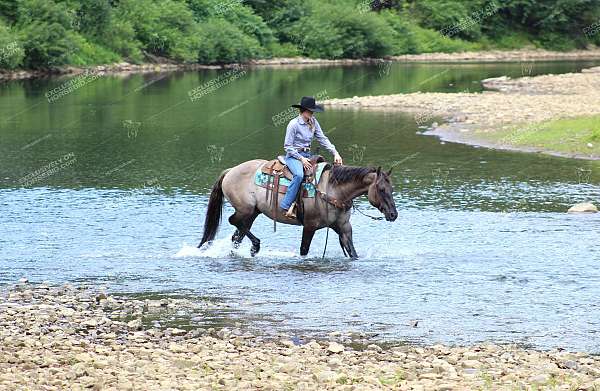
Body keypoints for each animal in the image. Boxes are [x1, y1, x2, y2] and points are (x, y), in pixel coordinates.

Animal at [197, 159, 398, 260]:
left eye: (392, 188)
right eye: (381, 189)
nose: (393, 214)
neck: (333, 190)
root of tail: (230, 171)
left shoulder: (344, 228)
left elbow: (353, 252)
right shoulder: (309, 226)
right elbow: (303, 250)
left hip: (253, 212)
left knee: (237, 234)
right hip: (244, 209)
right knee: (234, 222)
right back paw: (256, 246)